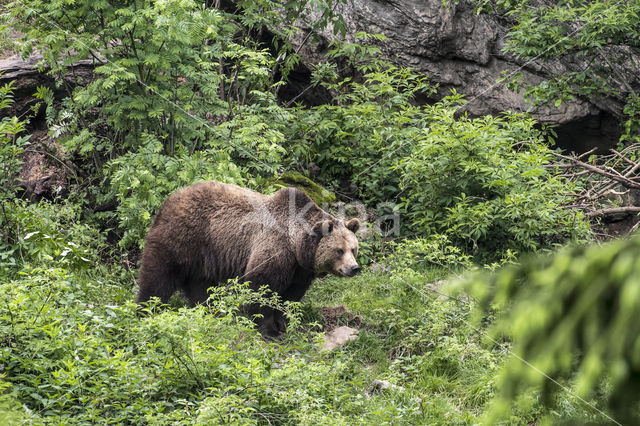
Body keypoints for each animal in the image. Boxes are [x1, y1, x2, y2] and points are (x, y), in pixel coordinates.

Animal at [136, 181, 360, 338]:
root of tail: (170, 199)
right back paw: (146, 309)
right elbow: (262, 287)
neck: (297, 245)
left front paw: (284, 323)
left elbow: (291, 296)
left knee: (200, 285)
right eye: (339, 251)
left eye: (353, 249)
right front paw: (269, 330)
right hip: (183, 236)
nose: (354, 268)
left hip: (203, 255)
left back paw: (210, 311)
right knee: (159, 275)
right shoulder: (275, 248)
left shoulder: (300, 269)